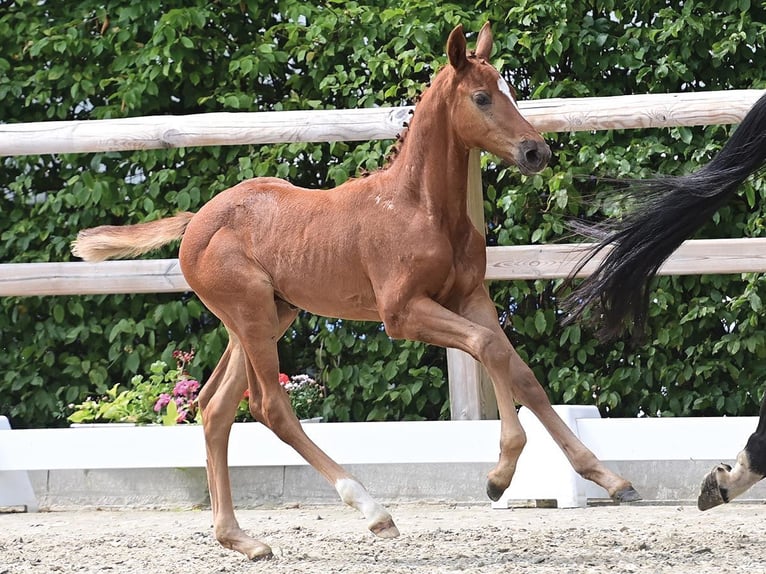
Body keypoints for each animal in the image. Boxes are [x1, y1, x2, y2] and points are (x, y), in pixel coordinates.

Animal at [71, 23, 638, 560]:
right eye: (482, 97)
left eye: (511, 91)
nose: (536, 151)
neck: (421, 207)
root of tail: (195, 224)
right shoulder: (403, 313)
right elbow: (489, 349)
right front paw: (499, 477)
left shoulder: (471, 297)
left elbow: (521, 373)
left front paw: (609, 479)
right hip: (251, 314)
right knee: (270, 406)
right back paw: (372, 510)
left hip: (266, 317)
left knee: (214, 409)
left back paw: (242, 540)